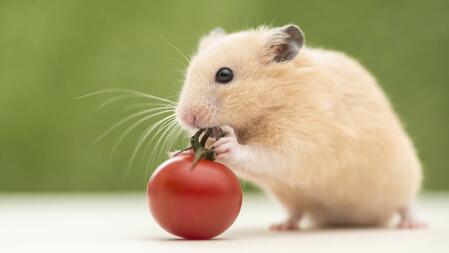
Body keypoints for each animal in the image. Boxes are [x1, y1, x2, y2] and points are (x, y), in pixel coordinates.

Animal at [174, 24, 424, 230]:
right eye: (188, 74)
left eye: (224, 74)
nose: (186, 117)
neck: (271, 103)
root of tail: (357, 219)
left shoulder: (299, 141)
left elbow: (263, 154)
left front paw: (228, 143)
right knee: (296, 213)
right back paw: (281, 226)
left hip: (404, 177)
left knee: (405, 204)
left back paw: (413, 224)